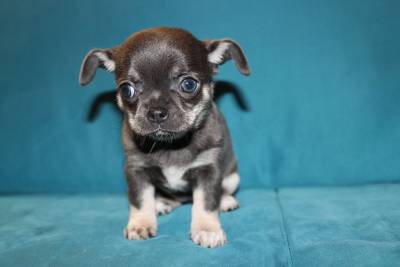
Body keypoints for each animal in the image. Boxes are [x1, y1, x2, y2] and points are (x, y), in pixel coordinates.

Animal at [78, 27, 250, 249]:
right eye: (126, 90)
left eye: (188, 84)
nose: (157, 112)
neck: (171, 145)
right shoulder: (136, 170)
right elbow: (140, 199)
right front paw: (140, 224)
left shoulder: (208, 170)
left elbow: (206, 202)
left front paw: (207, 229)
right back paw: (162, 203)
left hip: (232, 177)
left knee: (222, 191)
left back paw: (226, 201)